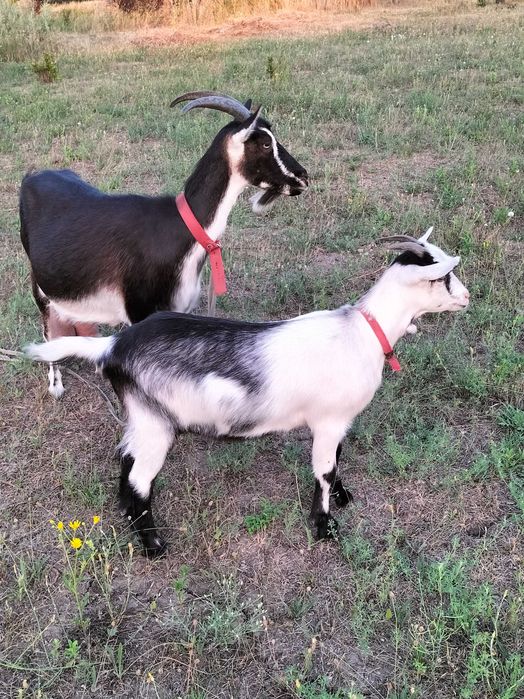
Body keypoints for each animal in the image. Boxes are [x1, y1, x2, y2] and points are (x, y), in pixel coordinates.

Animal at [20, 91, 308, 398]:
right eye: (265, 143)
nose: (303, 177)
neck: (181, 228)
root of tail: (31, 176)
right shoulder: (140, 311)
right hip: (39, 285)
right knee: (48, 326)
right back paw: (56, 383)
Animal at [26, 229, 470, 557]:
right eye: (443, 277)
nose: (466, 297)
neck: (362, 331)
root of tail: (112, 346)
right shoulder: (328, 420)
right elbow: (324, 470)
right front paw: (325, 528)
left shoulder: (338, 422)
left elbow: (338, 459)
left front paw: (343, 497)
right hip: (155, 424)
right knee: (139, 478)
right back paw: (153, 545)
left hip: (142, 419)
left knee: (125, 459)